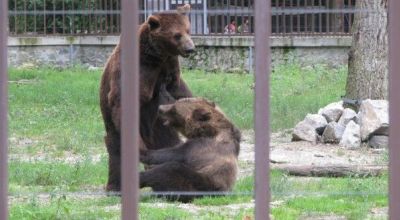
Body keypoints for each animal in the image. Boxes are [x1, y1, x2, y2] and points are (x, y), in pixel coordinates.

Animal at [99, 4, 195, 192]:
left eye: (188, 30)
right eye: (177, 35)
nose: (190, 48)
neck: (157, 55)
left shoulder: (170, 68)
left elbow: (180, 91)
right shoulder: (140, 69)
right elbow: (121, 102)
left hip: (159, 125)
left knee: (168, 143)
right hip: (114, 123)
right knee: (115, 146)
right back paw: (115, 186)